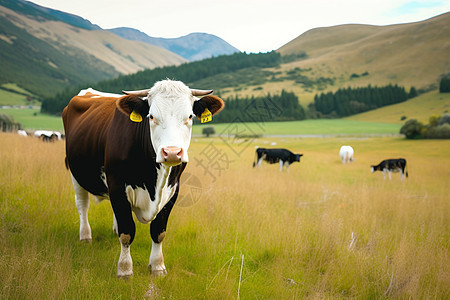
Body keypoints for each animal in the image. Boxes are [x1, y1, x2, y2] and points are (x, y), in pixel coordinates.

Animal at [62, 79, 224, 276]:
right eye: (152, 116)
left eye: (190, 117)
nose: (172, 152)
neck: (155, 183)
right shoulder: (117, 185)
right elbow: (127, 232)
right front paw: (125, 269)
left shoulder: (173, 190)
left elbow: (158, 231)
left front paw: (157, 266)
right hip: (76, 173)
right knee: (82, 204)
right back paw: (85, 236)